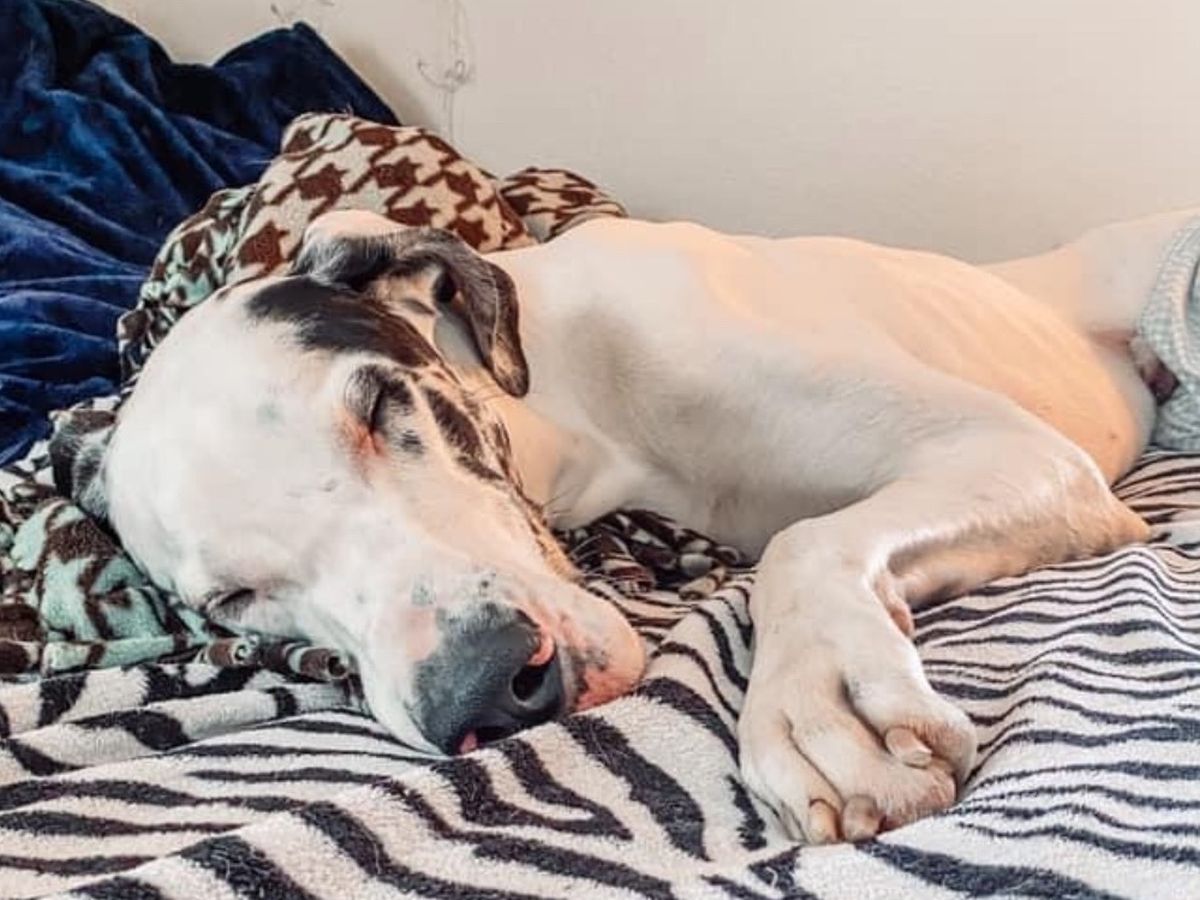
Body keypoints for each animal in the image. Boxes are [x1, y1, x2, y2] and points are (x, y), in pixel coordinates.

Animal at [51, 204, 1196, 845]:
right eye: (235, 598)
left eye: (379, 405)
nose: (488, 689)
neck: (568, 401)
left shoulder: (1011, 450)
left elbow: (802, 541)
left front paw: (821, 712)